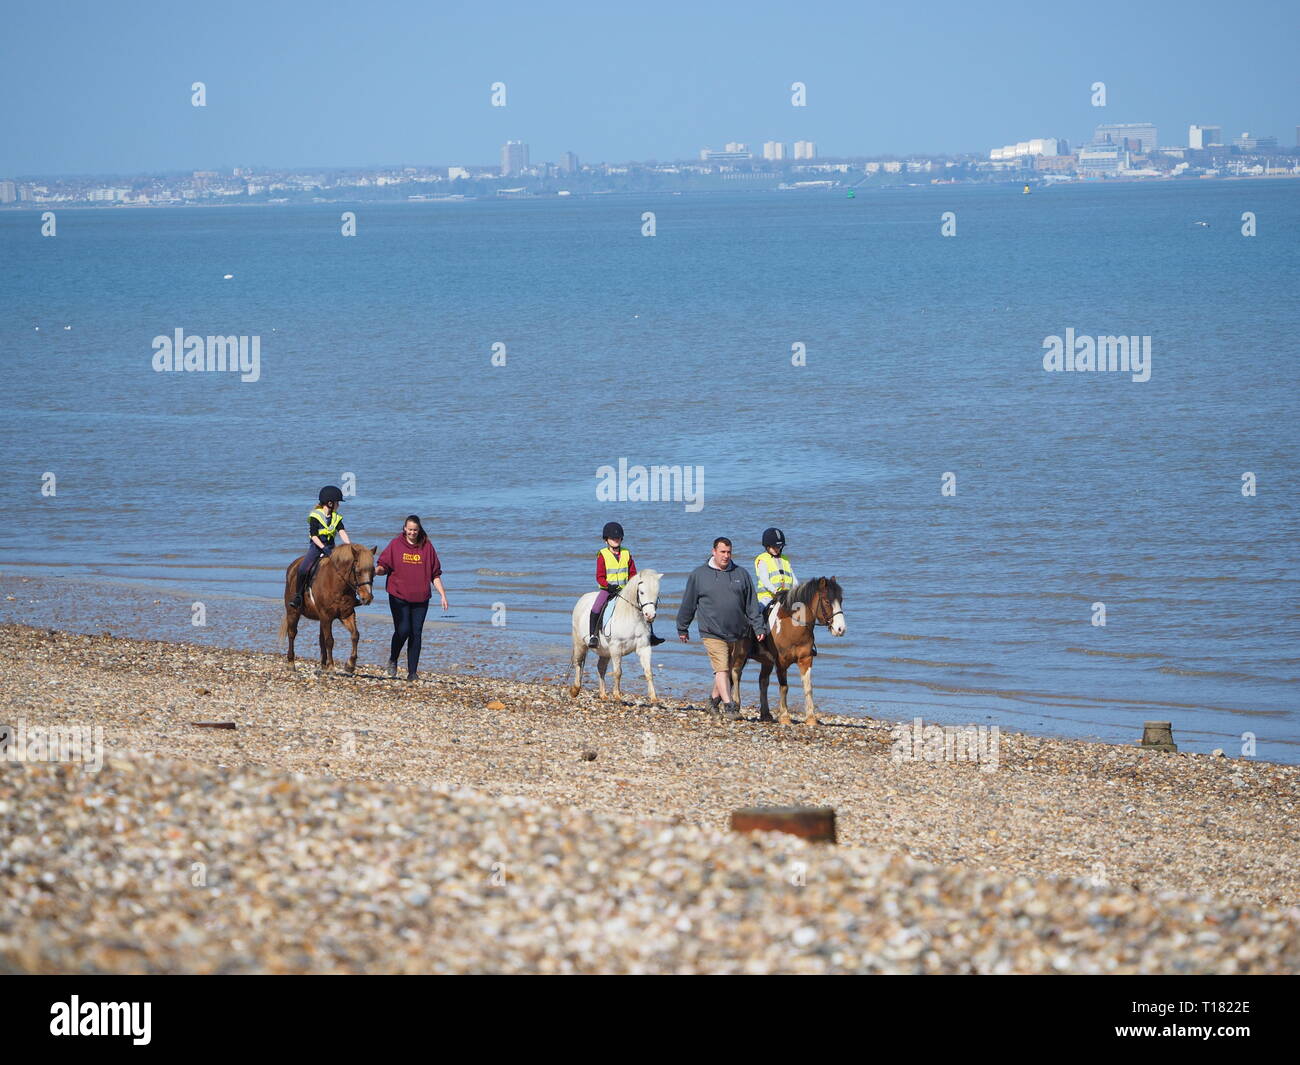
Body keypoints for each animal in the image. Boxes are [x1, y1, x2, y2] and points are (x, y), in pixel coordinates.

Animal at [566, 569, 660, 702]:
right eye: (642, 592)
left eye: (657, 593)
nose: (650, 615)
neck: (630, 616)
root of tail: (582, 599)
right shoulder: (616, 647)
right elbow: (618, 672)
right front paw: (617, 694)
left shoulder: (644, 647)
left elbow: (648, 672)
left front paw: (653, 697)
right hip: (580, 643)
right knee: (578, 663)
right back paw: (575, 690)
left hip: (604, 651)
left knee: (601, 667)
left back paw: (603, 694)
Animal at [738, 579, 847, 728]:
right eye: (826, 601)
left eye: (840, 600)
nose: (841, 629)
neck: (792, 627)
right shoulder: (781, 663)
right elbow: (784, 687)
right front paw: (785, 717)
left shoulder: (806, 660)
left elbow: (808, 687)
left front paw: (811, 718)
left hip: (766, 662)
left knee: (763, 682)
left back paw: (766, 715)